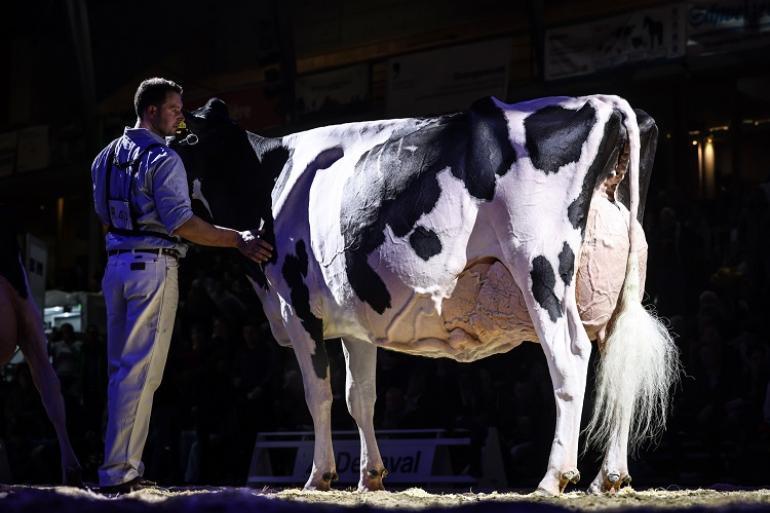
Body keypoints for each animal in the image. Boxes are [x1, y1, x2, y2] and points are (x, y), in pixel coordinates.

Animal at [174, 94, 680, 494]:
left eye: (186, 140)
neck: (267, 178)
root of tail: (608, 102)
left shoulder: (296, 307)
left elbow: (318, 394)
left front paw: (320, 476)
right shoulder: (354, 318)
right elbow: (360, 396)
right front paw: (370, 476)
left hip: (542, 267)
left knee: (570, 358)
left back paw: (555, 476)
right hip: (624, 284)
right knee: (619, 359)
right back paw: (609, 477)